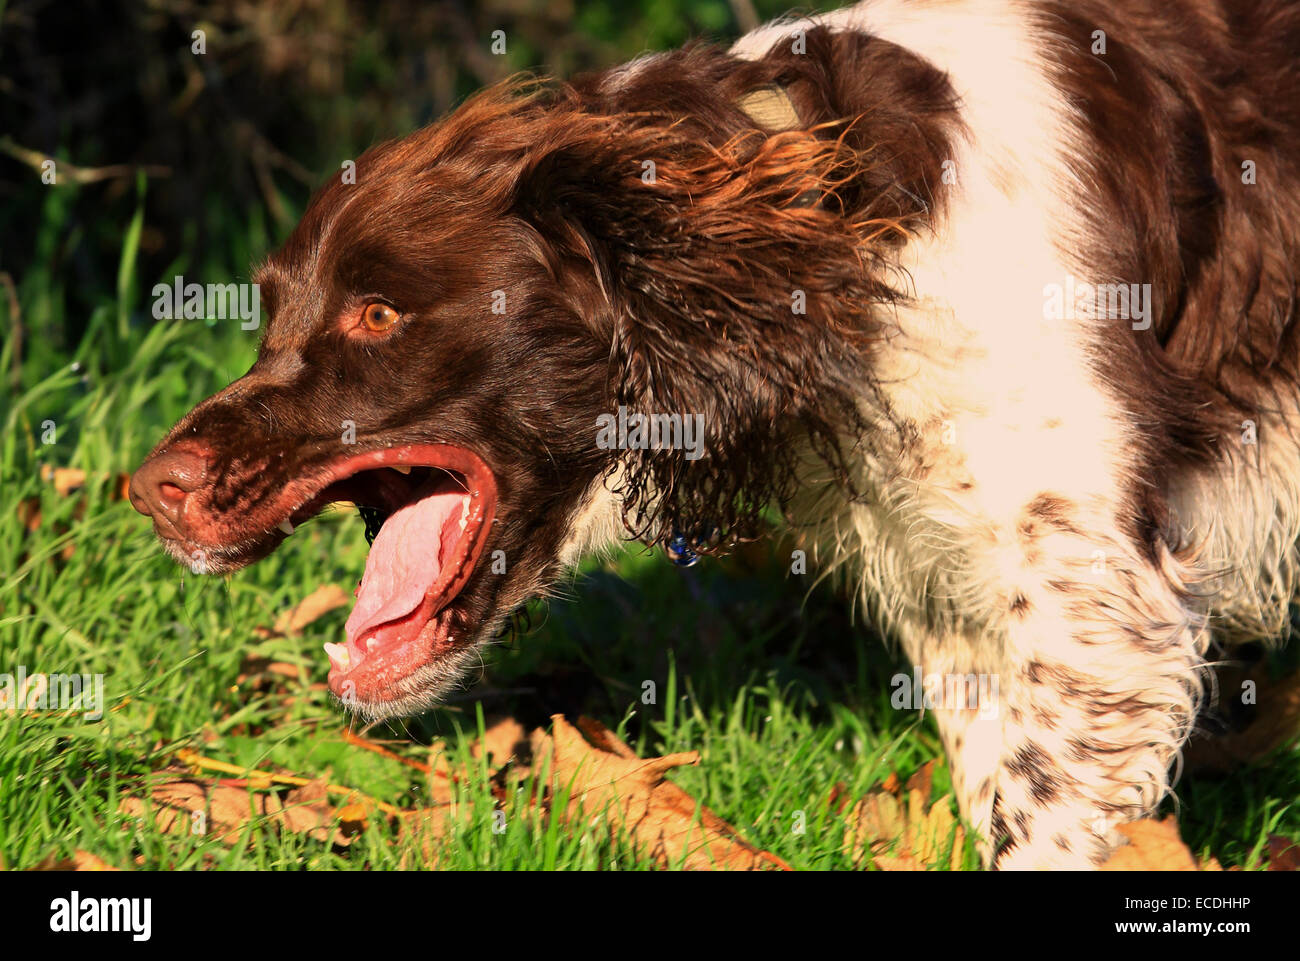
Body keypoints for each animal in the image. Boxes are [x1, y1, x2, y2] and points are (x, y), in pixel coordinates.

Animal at [129, 0, 1300, 868]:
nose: (151, 489)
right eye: (271, 313)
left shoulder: (1096, 600)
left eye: (378, 314)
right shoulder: (967, 600)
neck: (844, 236)